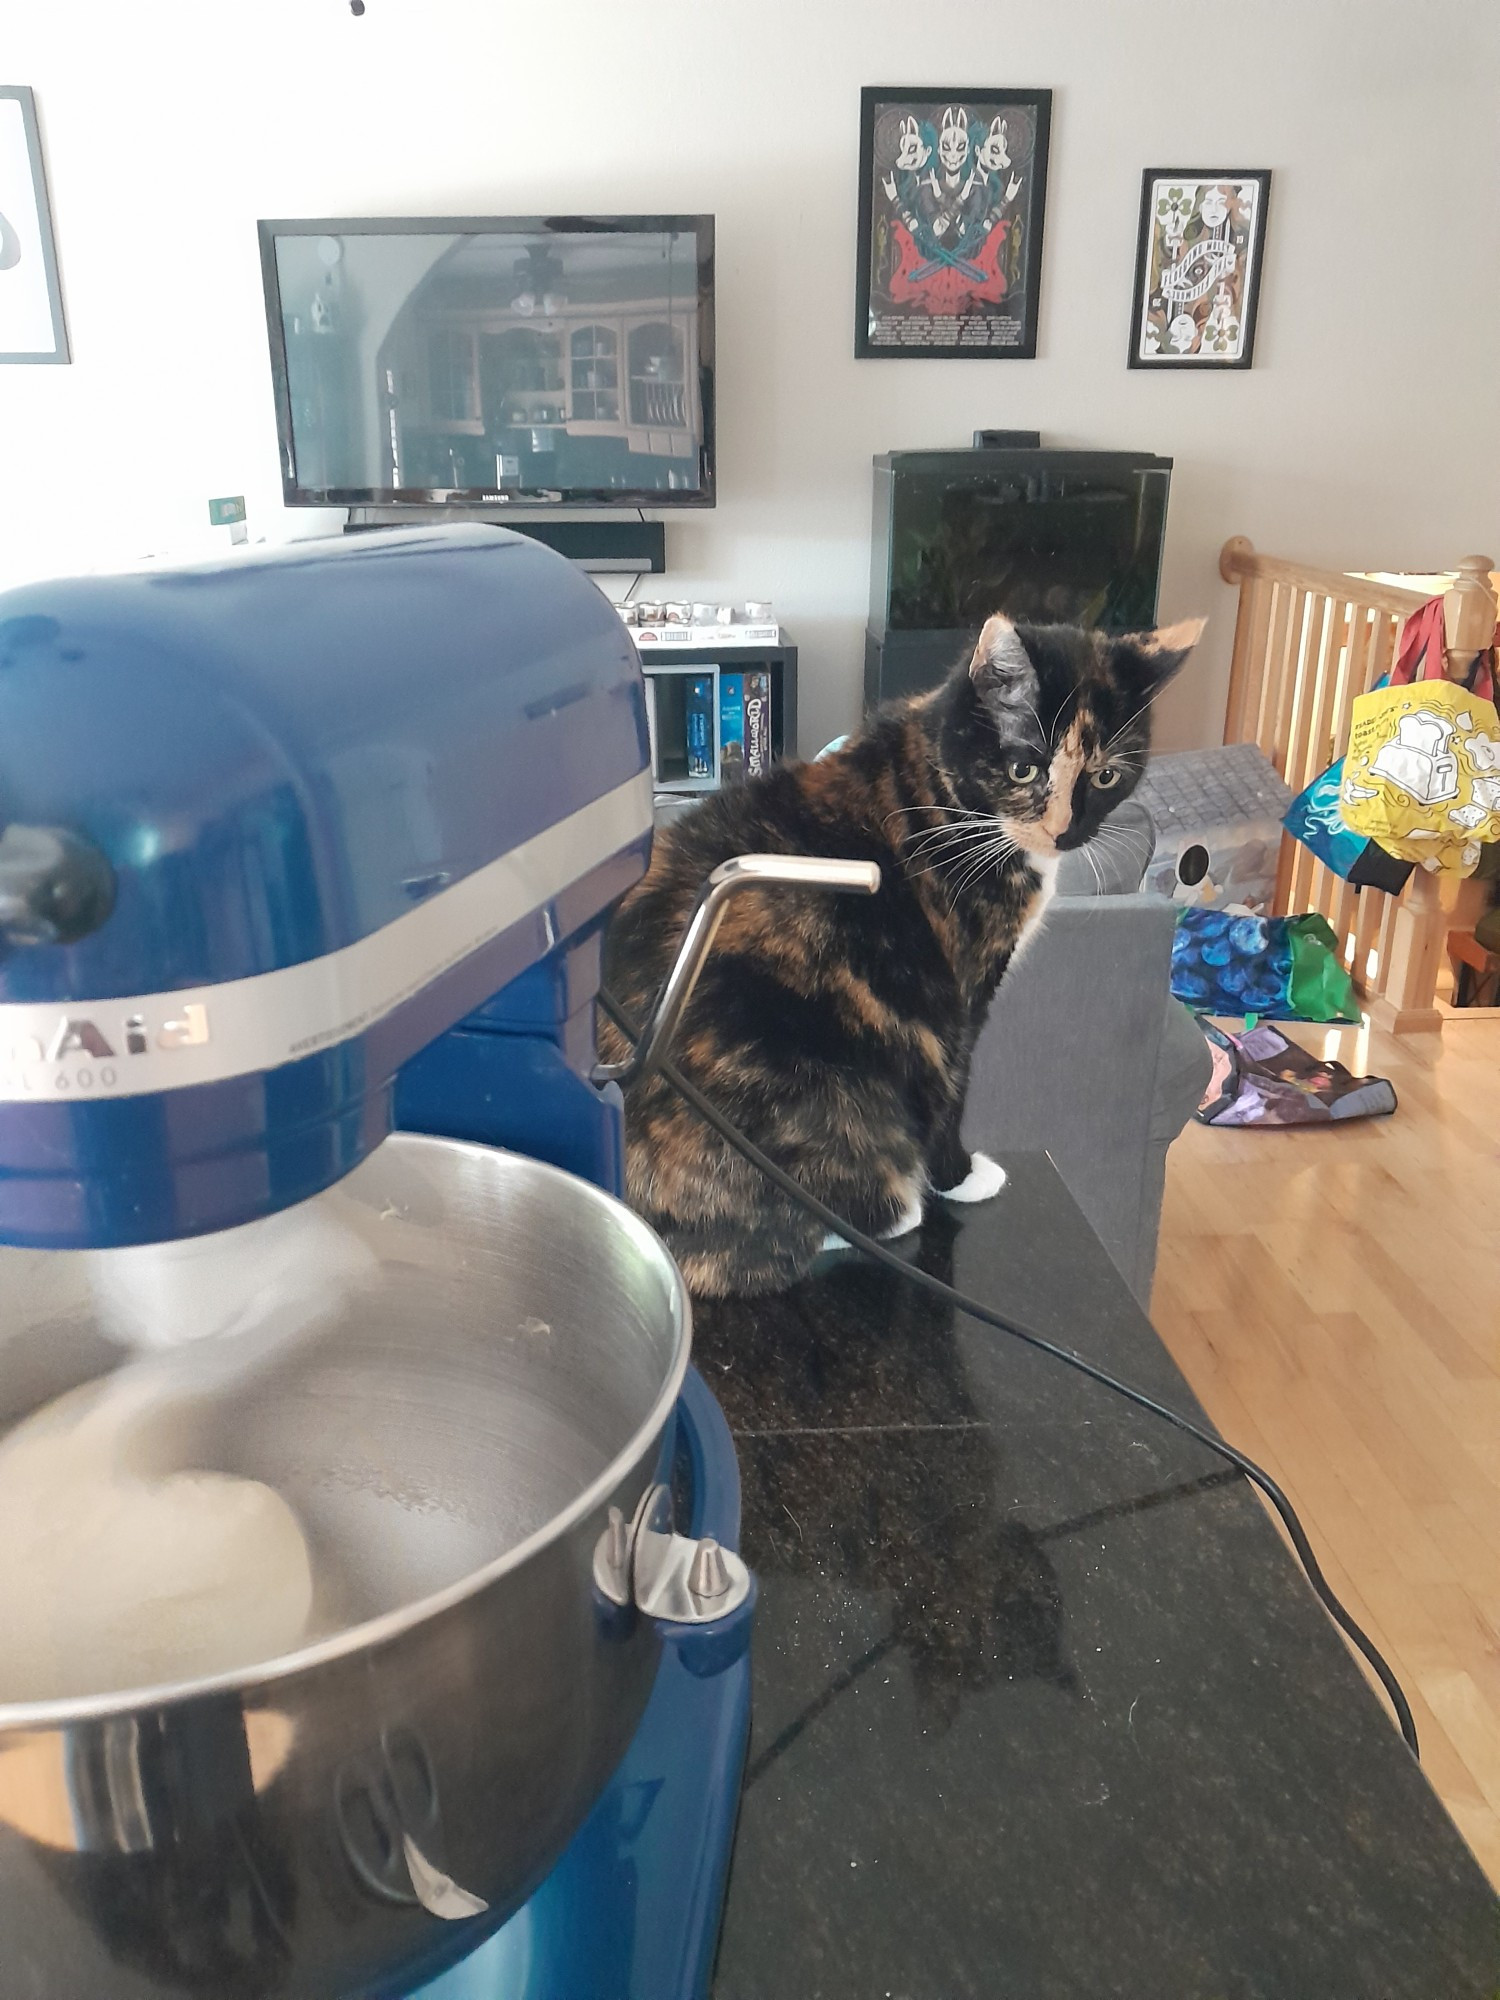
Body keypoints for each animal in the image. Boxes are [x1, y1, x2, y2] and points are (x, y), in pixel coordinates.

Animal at [604, 612, 1208, 1296]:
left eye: (1106, 776)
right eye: (1023, 770)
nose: (1063, 832)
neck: (942, 786)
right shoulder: (962, 995)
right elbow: (954, 1090)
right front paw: (960, 1176)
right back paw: (894, 1206)